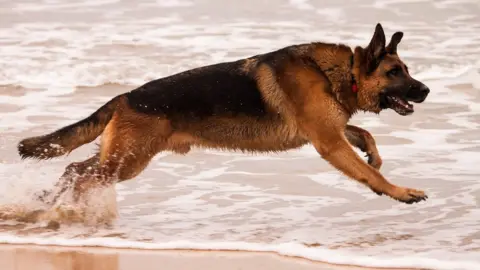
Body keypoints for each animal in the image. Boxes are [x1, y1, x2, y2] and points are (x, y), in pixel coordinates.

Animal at [18, 23, 432, 209]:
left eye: (406, 70)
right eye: (396, 73)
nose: (426, 91)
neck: (342, 72)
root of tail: (125, 96)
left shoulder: (331, 130)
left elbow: (362, 134)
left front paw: (374, 153)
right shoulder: (327, 141)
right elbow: (369, 173)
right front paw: (399, 191)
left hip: (122, 158)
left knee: (75, 169)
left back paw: (49, 202)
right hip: (127, 161)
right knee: (82, 175)